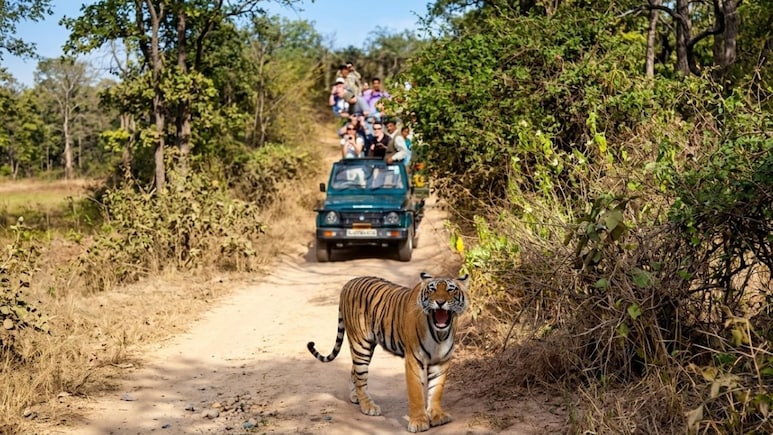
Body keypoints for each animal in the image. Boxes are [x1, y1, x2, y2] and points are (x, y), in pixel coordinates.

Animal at [307, 272, 470, 433]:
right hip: (360, 344)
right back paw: (368, 406)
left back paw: (355, 396)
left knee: (355, 372)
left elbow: (436, 390)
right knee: (361, 376)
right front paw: (418, 422)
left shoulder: (441, 361)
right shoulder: (413, 360)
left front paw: (437, 416)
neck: (439, 334)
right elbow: (416, 393)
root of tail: (348, 283)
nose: (440, 302)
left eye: (451, 290)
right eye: (432, 290)